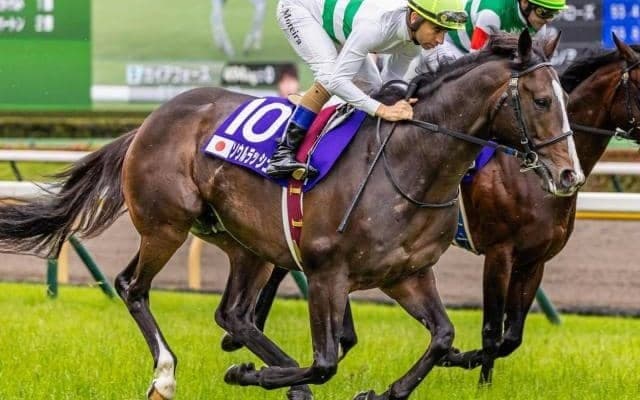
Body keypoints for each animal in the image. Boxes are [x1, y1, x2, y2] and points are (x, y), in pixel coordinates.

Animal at [0, 31, 582, 400]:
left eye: (563, 98)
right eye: (539, 100)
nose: (569, 175)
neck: (408, 163)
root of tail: (149, 120)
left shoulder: (408, 273)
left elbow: (441, 339)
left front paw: (382, 392)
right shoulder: (327, 273)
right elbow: (326, 361)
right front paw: (246, 375)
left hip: (247, 245)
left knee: (233, 314)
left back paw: (277, 373)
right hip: (166, 224)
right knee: (132, 287)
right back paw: (168, 376)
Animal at [226, 33, 640, 390]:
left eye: (560, 101)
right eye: (541, 101)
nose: (569, 175)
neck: (528, 177)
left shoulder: (534, 260)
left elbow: (512, 337)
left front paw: (463, 362)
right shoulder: (500, 253)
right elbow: (493, 333)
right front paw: (474, 375)